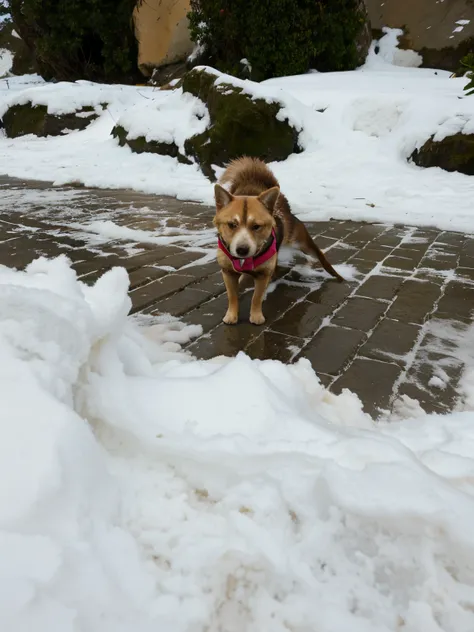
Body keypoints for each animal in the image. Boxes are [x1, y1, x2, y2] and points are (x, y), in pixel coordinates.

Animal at [213, 157, 342, 326]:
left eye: (256, 226)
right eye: (231, 225)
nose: (242, 250)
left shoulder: (263, 273)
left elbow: (256, 297)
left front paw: (256, 316)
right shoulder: (227, 271)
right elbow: (232, 295)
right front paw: (231, 315)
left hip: (301, 241)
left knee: (319, 255)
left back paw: (337, 276)